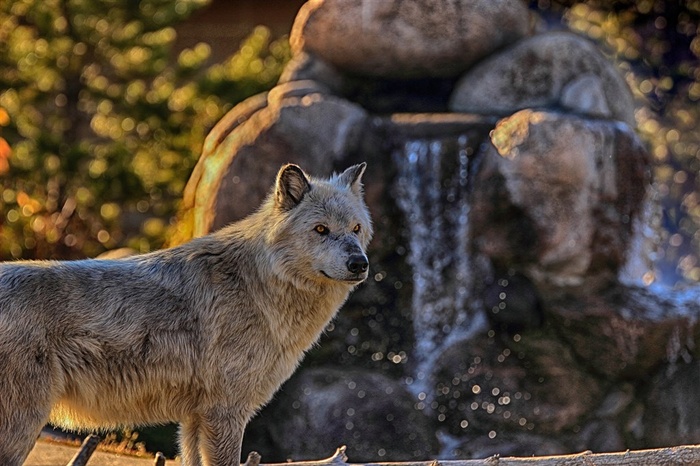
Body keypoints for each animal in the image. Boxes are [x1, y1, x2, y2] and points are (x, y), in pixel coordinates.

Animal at [0, 163, 372, 466]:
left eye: (356, 229)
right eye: (321, 229)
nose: (360, 263)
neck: (258, 286)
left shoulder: (195, 417)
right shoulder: (225, 412)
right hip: (23, 425)